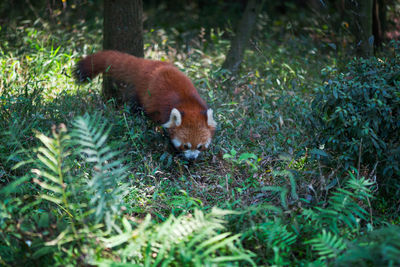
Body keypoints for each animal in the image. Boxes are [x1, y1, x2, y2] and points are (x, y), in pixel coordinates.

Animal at [76, 50, 217, 160]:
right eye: (186, 146)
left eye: (200, 146)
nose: (192, 158)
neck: (188, 105)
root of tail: (149, 65)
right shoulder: (164, 112)